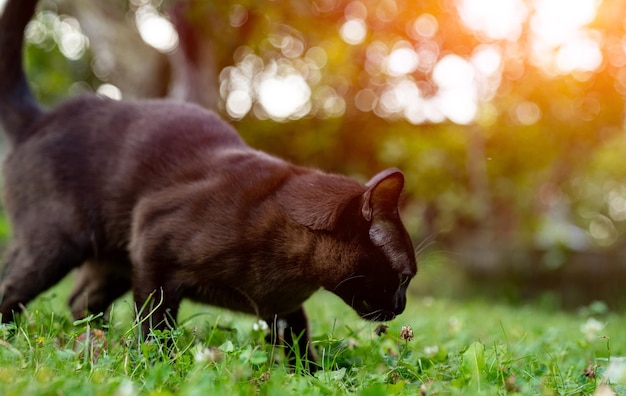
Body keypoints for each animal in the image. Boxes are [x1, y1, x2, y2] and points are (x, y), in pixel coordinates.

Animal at [0, 0, 414, 368]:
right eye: (405, 277)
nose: (402, 307)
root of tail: (42, 119)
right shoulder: (153, 250)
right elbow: (155, 325)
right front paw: (159, 365)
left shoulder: (282, 308)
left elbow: (299, 341)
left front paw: (315, 375)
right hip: (56, 246)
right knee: (12, 288)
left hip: (112, 264)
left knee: (80, 302)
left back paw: (94, 342)